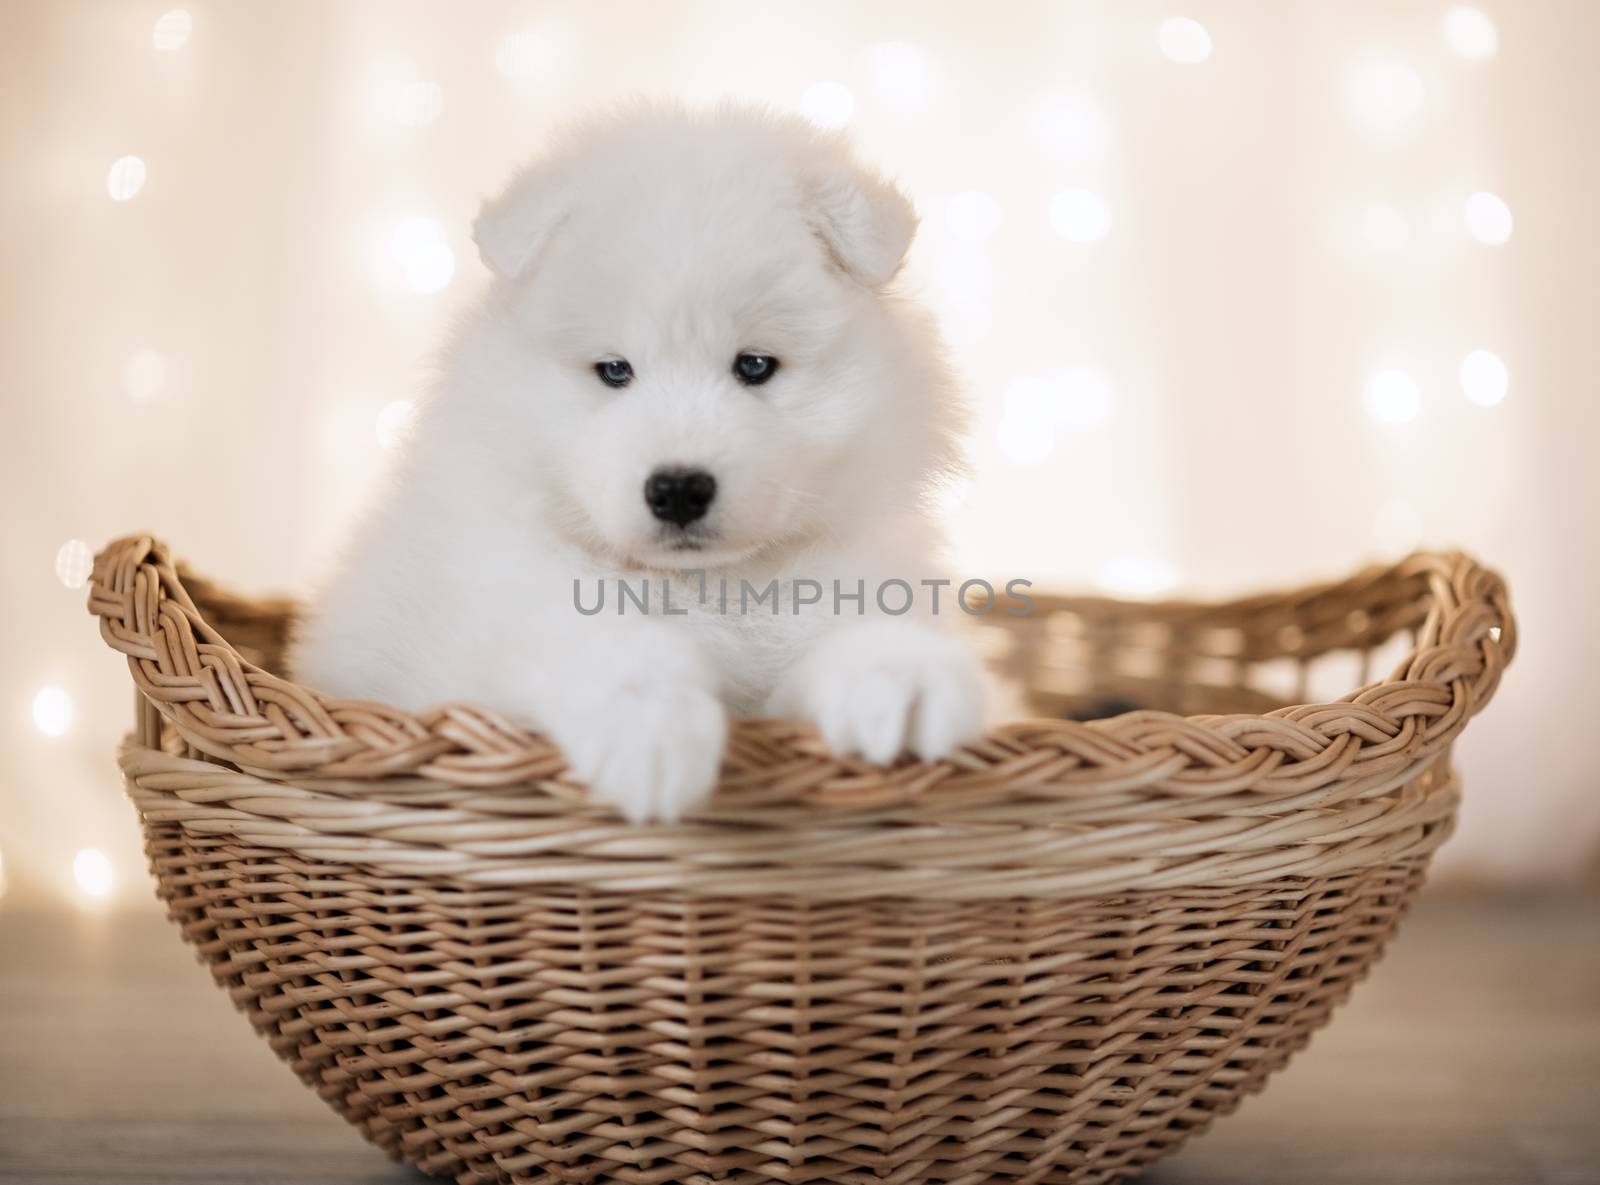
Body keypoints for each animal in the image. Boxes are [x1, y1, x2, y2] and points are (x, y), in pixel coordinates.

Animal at [291, 101, 985, 818]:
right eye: (615, 371)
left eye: (755, 365)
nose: (678, 489)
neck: (709, 586)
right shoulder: (492, 631)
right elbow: (604, 638)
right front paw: (650, 728)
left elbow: (852, 631)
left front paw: (899, 674)